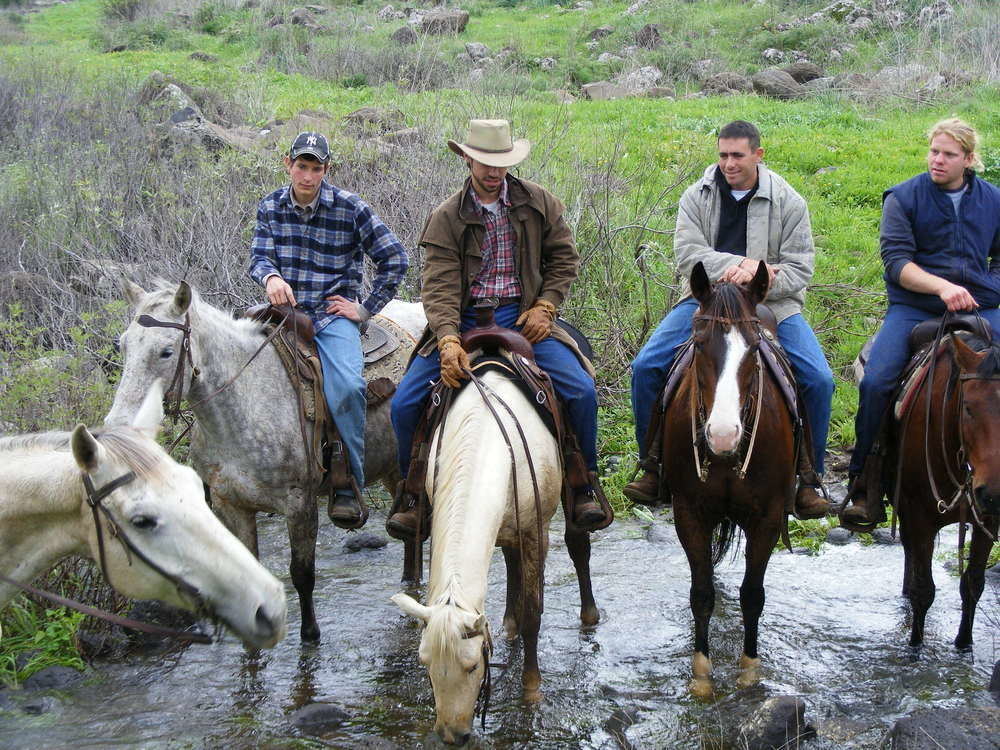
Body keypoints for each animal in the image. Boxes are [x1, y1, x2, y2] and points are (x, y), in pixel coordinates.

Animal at [106, 280, 426, 644]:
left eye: (166, 351)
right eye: (123, 345)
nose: (119, 425)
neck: (246, 404)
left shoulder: (299, 503)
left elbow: (302, 574)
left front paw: (310, 635)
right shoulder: (229, 503)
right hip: (392, 468)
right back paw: (409, 583)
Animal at [392, 356, 576, 748]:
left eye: (474, 664)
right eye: (426, 665)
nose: (452, 735)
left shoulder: (536, 532)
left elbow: (534, 611)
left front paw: (531, 688)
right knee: (511, 564)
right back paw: (509, 623)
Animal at [664, 262, 796, 700]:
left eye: (754, 349)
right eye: (699, 343)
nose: (723, 435)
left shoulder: (768, 518)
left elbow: (752, 595)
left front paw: (750, 669)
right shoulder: (689, 514)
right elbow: (702, 594)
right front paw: (702, 674)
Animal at [888, 330, 996, 652]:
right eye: (968, 408)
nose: (993, 493)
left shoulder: (989, 521)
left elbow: (973, 584)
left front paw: (964, 643)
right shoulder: (918, 513)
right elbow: (924, 589)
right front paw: (914, 647)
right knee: (910, 552)